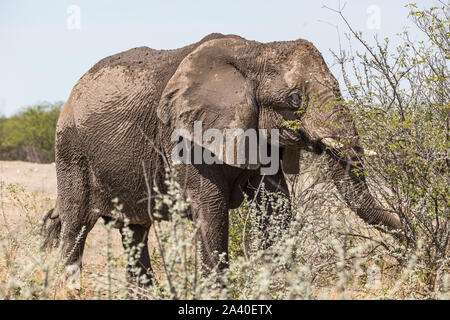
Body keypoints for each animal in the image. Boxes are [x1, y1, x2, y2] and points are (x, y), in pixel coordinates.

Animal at [40, 32, 402, 284]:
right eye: (294, 99)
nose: (410, 233)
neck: (255, 51)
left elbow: (276, 204)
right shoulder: (184, 135)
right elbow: (211, 207)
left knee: (135, 230)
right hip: (71, 151)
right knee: (76, 224)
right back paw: (68, 286)